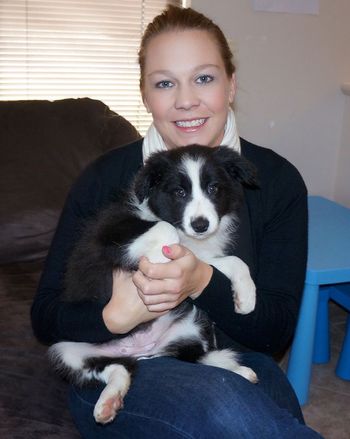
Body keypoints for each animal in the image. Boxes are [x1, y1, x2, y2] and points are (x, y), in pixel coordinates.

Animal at [50, 145, 260, 426]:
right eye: (179, 192)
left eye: (213, 188)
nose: (200, 225)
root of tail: (143, 351)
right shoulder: (108, 234)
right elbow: (163, 228)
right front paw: (160, 259)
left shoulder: (197, 256)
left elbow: (231, 262)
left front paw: (246, 298)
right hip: (66, 351)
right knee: (116, 368)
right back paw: (108, 402)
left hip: (195, 325)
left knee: (190, 357)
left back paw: (238, 370)